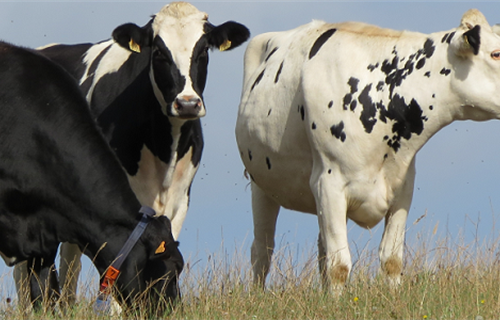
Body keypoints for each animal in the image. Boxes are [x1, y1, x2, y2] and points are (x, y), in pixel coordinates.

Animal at [21, 1, 248, 302]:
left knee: (70, 260)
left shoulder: (180, 199)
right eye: (159, 52)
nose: (187, 103)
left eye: (202, 50)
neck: (164, 149)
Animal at [236, 8, 500, 292]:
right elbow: (339, 265)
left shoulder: (402, 186)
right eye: (496, 53)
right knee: (262, 249)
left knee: (320, 249)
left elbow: (391, 259)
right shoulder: (328, 182)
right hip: (261, 184)